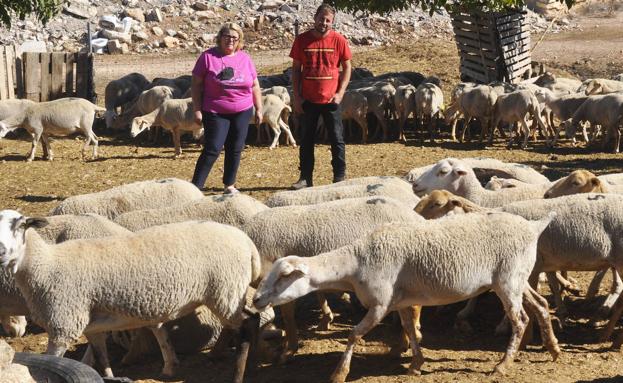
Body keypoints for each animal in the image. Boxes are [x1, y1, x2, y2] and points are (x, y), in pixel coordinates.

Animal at [0, 212, 262, 380]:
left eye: (20, 226)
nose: (1, 251)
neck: (47, 265)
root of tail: (247, 242)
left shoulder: (63, 324)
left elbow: (56, 360)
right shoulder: (92, 326)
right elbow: (102, 358)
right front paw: (109, 375)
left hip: (225, 290)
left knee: (248, 323)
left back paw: (239, 372)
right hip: (227, 294)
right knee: (248, 320)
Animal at [244, 198, 424, 364]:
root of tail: (418, 217)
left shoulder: (283, 289)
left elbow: (288, 318)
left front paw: (288, 351)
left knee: (413, 308)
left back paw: (404, 344)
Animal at [254, 212, 560, 382]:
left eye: (283, 277)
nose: (256, 300)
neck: (356, 263)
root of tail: (534, 226)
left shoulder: (379, 304)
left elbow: (354, 335)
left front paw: (339, 373)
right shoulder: (399, 302)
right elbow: (410, 329)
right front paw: (416, 364)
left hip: (508, 281)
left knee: (520, 320)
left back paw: (503, 365)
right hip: (517, 278)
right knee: (541, 305)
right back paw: (554, 349)